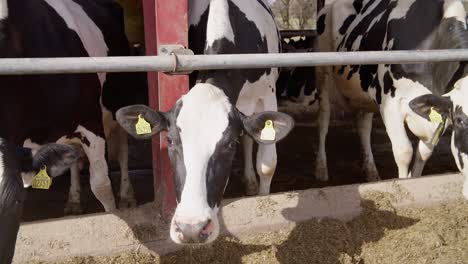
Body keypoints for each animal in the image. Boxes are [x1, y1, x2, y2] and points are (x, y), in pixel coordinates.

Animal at [0, 0, 146, 213]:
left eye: (14, 203)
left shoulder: (91, 123)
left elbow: (102, 186)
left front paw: (112, 211)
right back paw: (74, 201)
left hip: (119, 102)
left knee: (122, 149)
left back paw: (127, 196)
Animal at [116, 0, 292, 244]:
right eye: (170, 141)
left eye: (230, 144)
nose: (191, 228)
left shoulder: (267, 93)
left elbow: (267, 164)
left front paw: (262, 197)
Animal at [312, 0, 468, 198]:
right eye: (460, 120)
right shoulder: (390, 103)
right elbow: (404, 151)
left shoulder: (436, 113)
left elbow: (423, 153)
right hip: (322, 75)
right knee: (323, 122)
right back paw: (321, 169)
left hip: (364, 92)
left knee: (364, 127)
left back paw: (371, 172)